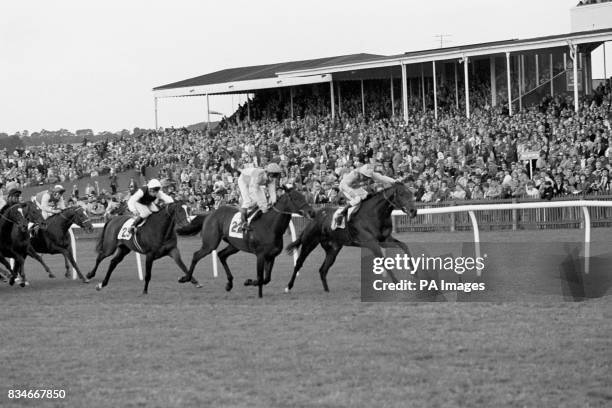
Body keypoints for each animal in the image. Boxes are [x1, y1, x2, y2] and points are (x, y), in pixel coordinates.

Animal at [178, 186, 316, 298]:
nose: (312, 212)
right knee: (197, 255)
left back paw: (229, 283)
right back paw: (186, 278)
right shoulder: (260, 255)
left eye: (304, 196)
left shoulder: (271, 256)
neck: (270, 226)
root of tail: (209, 214)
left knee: (221, 255)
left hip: (234, 245)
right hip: (210, 243)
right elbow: (260, 278)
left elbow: (267, 279)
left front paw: (251, 284)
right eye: (295, 198)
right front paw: (255, 290)